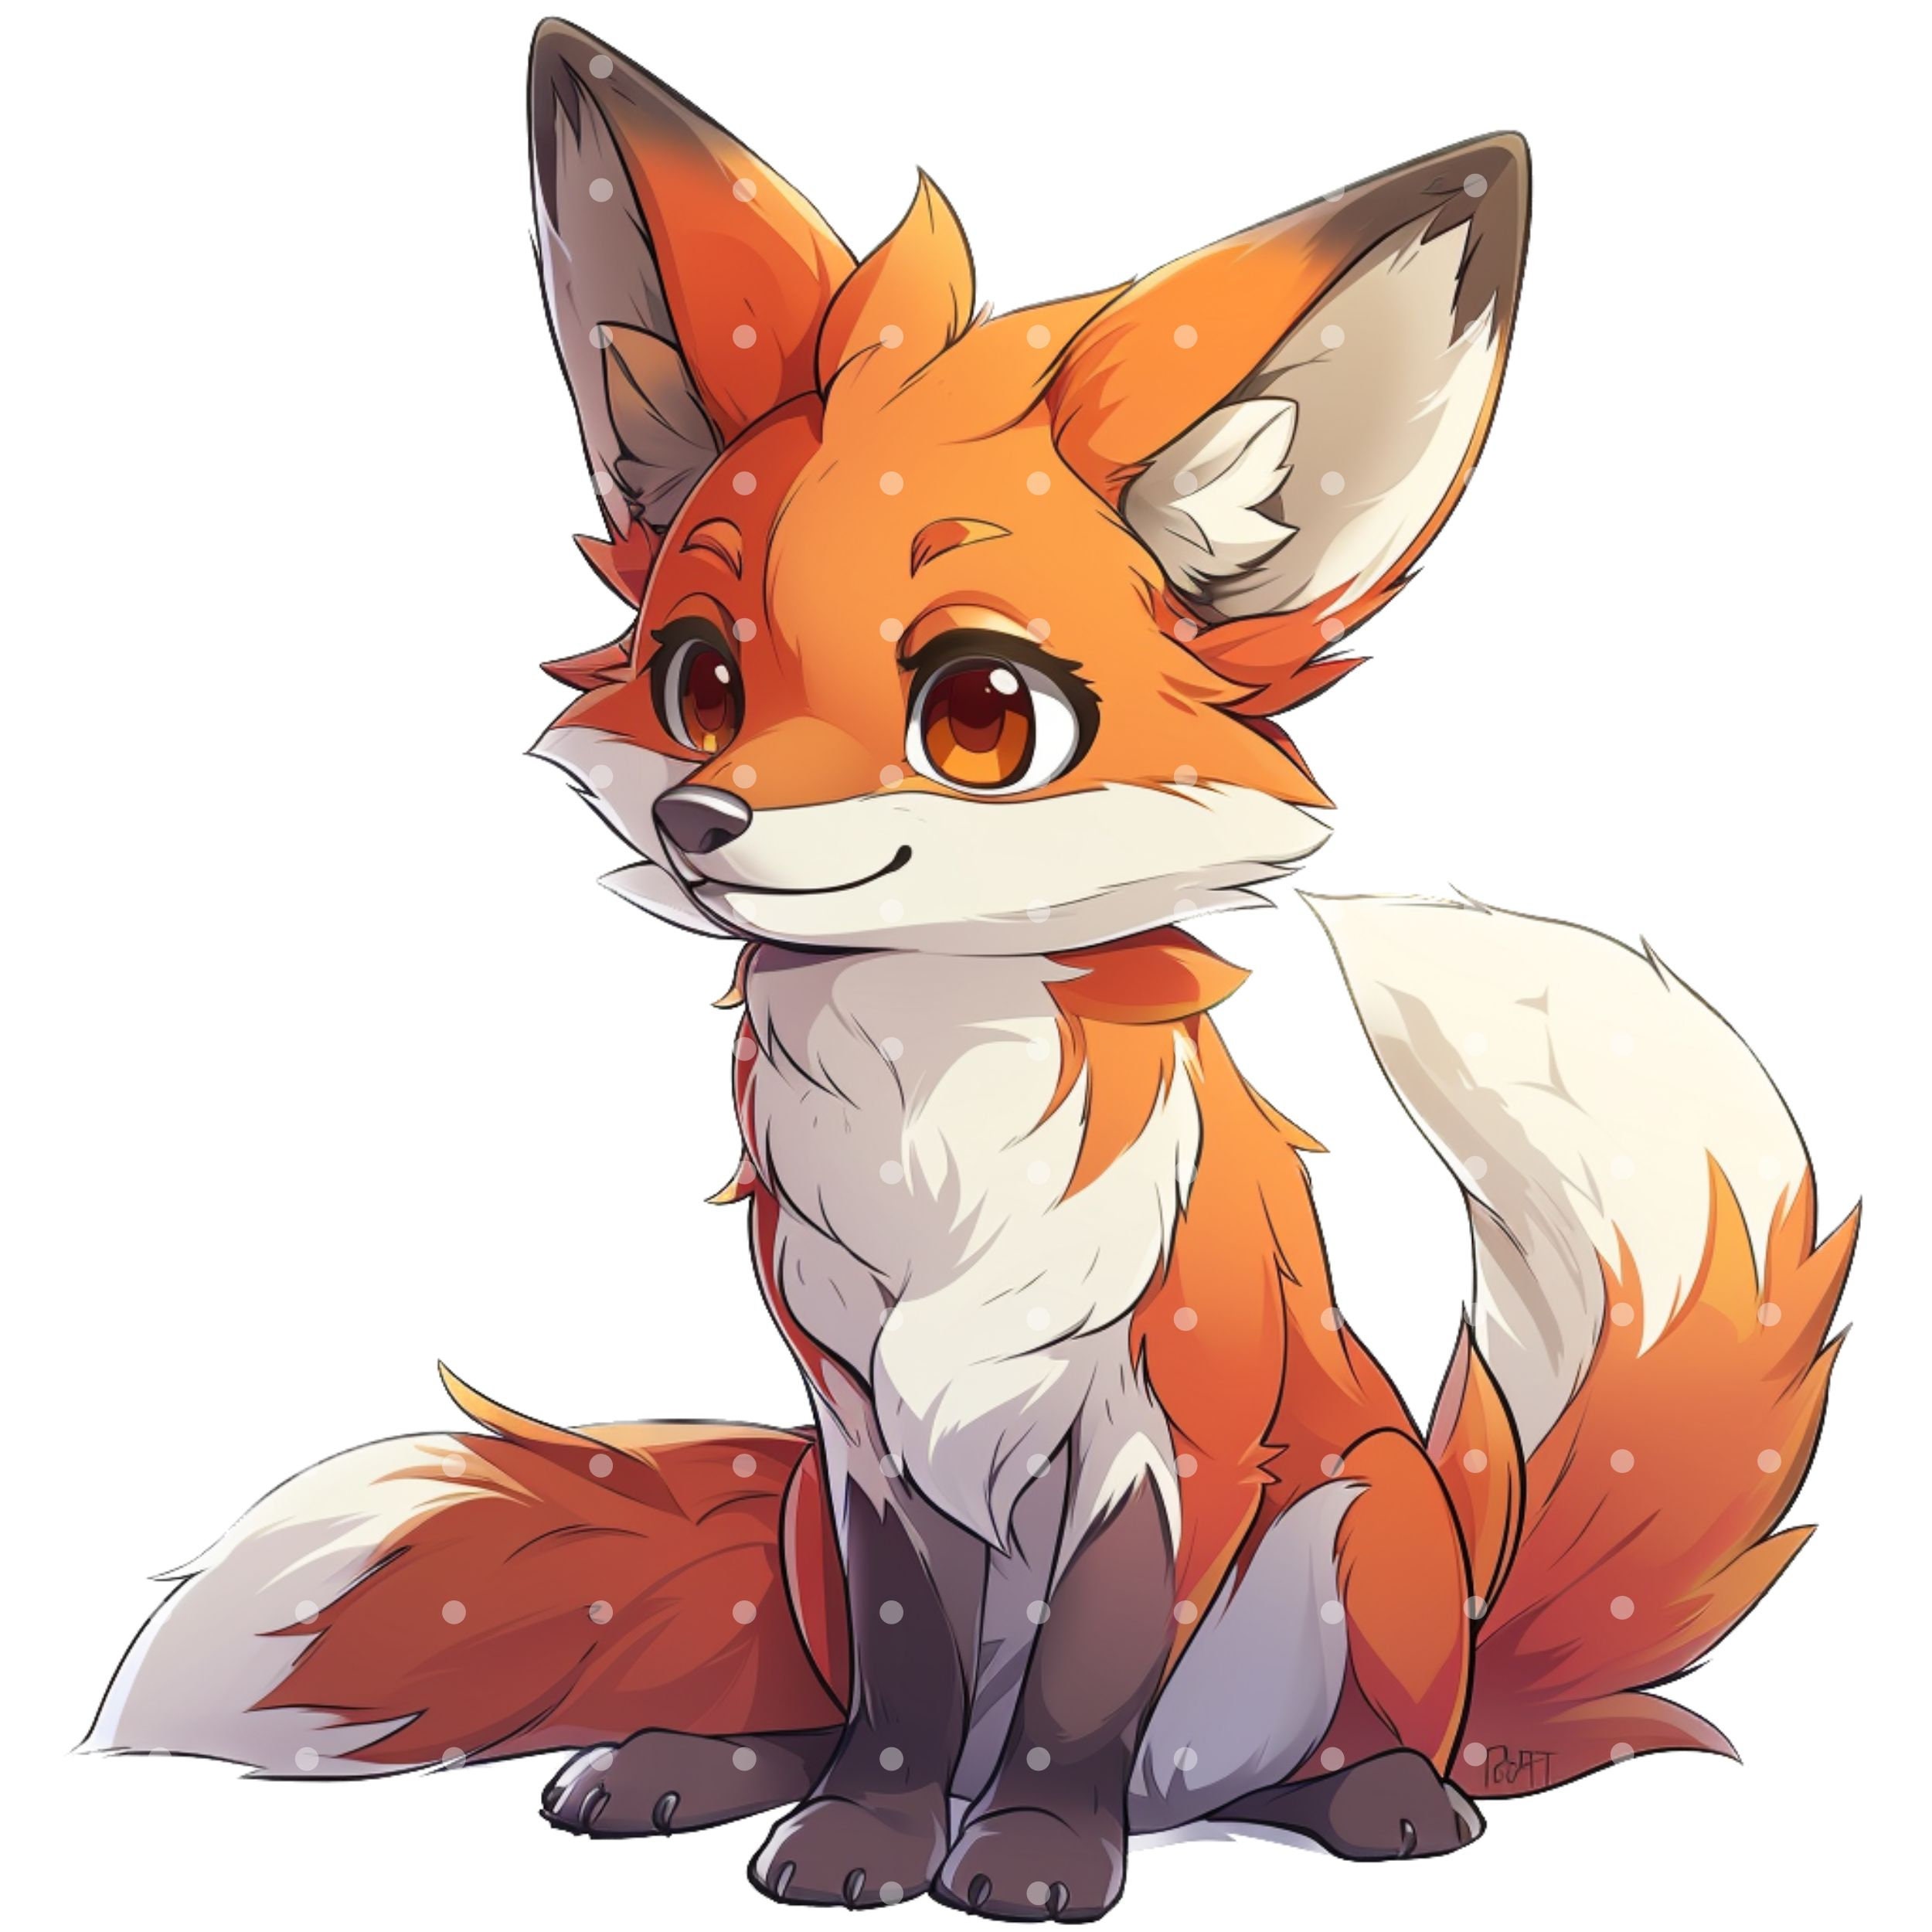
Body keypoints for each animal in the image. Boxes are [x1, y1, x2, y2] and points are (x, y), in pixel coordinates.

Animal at [85, 16, 1856, 1923]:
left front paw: (1025, 1854)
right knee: (846, 1700)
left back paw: (1376, 1799)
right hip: (801, 1517)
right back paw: (693, 1765)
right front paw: (861, 1838)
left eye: (984, 715)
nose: (704, 817)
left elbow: (1082, 1682)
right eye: (699, 678)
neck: (929, 1115)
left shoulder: (1155, 1446)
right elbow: (904, 1681)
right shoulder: (860, 1443)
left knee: (1317, 1751)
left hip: (1364, 1528)